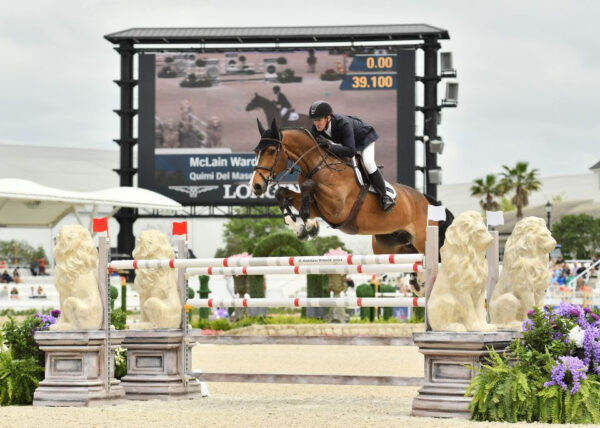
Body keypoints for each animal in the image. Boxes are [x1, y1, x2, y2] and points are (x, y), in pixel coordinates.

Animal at [250, 118, 454, 256]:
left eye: (271, 151)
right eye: (256, 151)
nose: (256, 186)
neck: (317, 165)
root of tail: (428, 200)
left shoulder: (337, 208)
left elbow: (309, 186)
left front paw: (309, 226)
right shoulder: (321, 208)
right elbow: (282, 193)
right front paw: (301, 228)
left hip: (424, 241)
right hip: (391, 246)